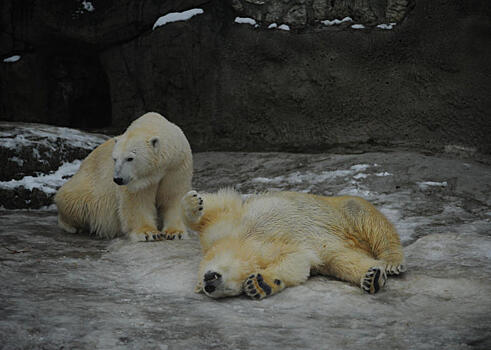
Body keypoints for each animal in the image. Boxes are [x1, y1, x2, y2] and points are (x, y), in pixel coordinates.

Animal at [53, 112, 192, 241]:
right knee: (76, 202)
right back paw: (72, 227)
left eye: (130, 158)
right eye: (114, 158)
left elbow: (173, 196)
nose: (118, 179)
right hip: (85, 188)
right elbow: (137, 200)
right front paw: (148, 233)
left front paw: (175, 233)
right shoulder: (137, 181)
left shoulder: (176, 166)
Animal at [183, 189, 406, 298]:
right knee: (345, 261)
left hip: (338, 211)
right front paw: (260, 284)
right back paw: (372, 277)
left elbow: (216, 208)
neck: (243, 244)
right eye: (206, 290)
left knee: (366, 216)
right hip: (335, 248)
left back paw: (391, 262)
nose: (209, 284)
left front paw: (194, 202)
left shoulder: (223, 229)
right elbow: (296, 262)